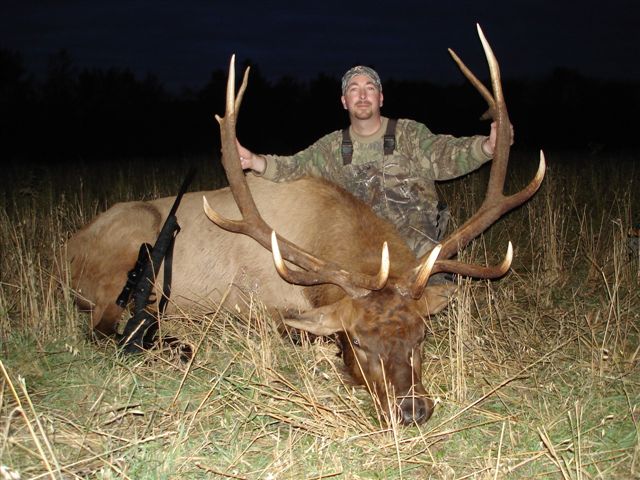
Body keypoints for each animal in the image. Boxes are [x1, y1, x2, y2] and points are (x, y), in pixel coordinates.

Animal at [66, 25, 545, 425]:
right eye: (358, 341)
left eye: (421, 337)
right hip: (125, 257)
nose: (412, 410)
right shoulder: (265, 307)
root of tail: (69, 255)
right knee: (103, 329)